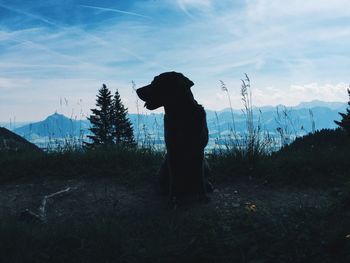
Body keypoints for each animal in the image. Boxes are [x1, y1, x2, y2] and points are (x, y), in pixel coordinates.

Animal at [136, 72, 211, 206]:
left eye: (156, 82)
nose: (137, 90)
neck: (181, 115)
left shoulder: (199, 151)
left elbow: (200, 177)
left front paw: (203, 197)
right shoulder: (172, 150)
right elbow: (174, 179)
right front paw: (173, 200)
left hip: (206, 163)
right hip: (164, 166)